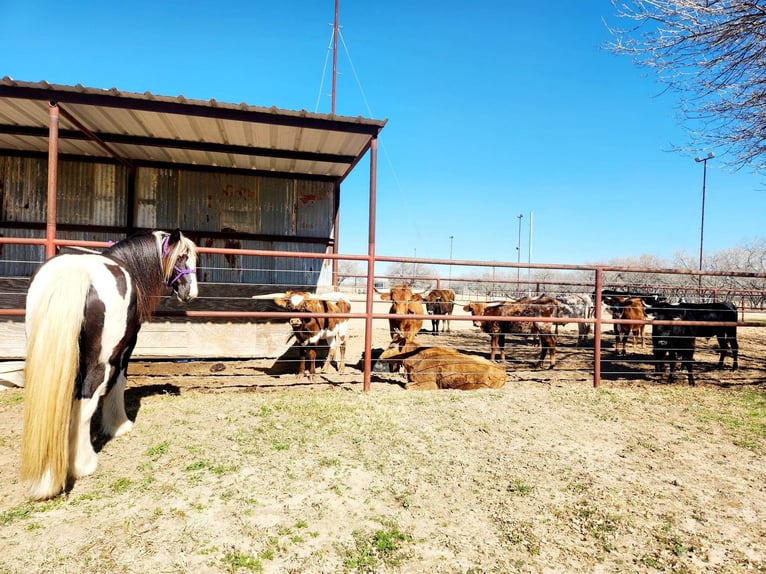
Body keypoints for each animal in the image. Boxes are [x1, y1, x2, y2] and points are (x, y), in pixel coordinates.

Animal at [21, 230, 198, 500]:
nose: (191, 292)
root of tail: (75, 274)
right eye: (182, 257)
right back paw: (83, 464)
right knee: (86, 402)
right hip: (98, 364)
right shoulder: (126, 346)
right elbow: (118, 381)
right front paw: (118, 424)